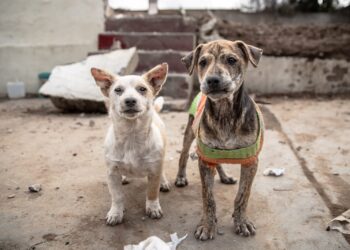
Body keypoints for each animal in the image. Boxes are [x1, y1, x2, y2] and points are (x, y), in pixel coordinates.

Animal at [91, 63, 170, 226]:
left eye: (142, 89)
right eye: (118, 90)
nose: (130, 101)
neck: (131, 136)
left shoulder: (154, 170)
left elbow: (152, 192)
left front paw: (153, 208)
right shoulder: (112, 173)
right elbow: (117, 196)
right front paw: (116, 213)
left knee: (163, 169)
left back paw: (164, 182)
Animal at [175, 39, 262, 240]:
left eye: (231, 60)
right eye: (202, 62)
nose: (212, 80)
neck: (225, 113)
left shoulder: (251, 161)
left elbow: (243, 195)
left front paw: (242, 222)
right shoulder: (205, 159)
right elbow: (208, 198)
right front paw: (207, 225)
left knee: (219, 161)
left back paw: (225, 176)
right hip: (190, 132)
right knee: (183, 154)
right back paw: (181, 177)